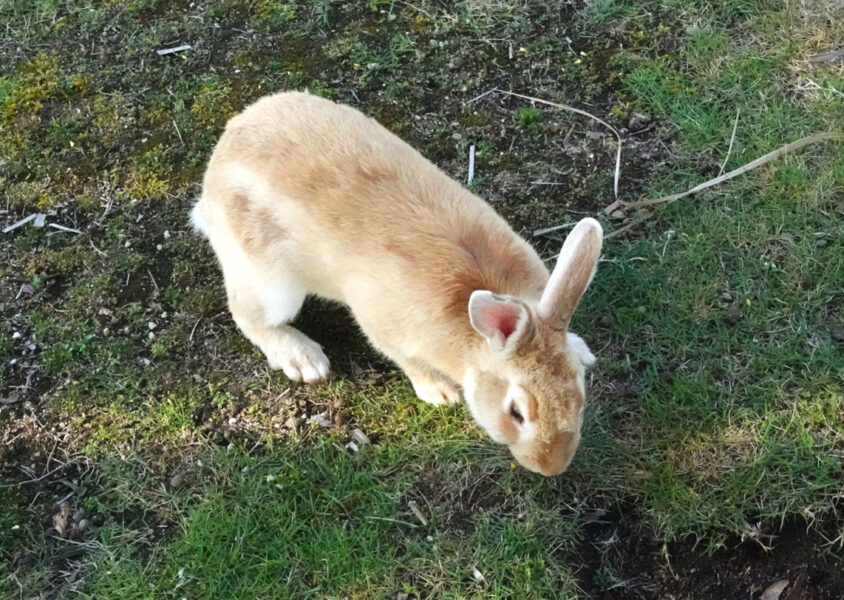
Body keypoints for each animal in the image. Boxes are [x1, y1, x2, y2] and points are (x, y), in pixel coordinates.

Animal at [191, 91, 600, 476]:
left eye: (580, 393)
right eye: (516, 412)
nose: (551, 467)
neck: (472, 339)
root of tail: (216, 170)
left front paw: (581, 347)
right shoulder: (384, 328)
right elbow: (407, 360)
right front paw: (441, 393)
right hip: (269, 283)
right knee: (249, 317)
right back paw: (304, 360)